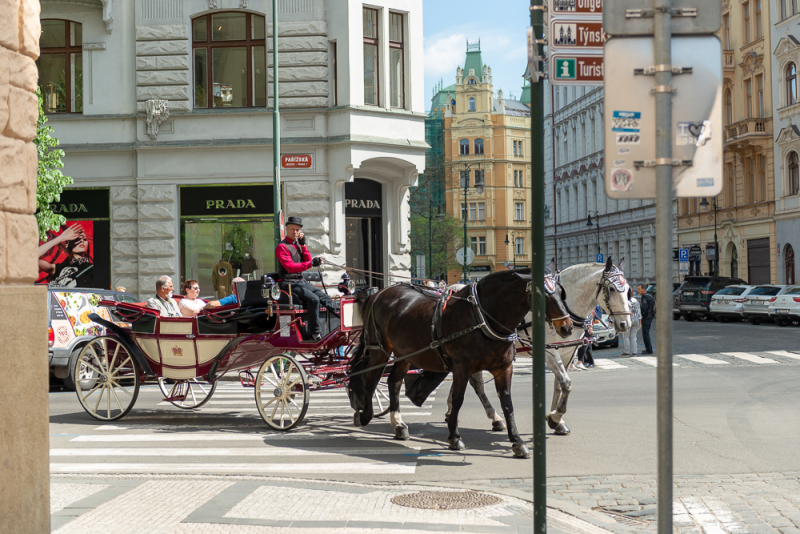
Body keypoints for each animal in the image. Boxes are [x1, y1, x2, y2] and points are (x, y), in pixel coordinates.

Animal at [346, 270, 572, 458]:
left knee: (393, 382)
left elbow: (507, 404)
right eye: (544, 295)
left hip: (405, 354)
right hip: (379, 349)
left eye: (561, 294)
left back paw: (399, 424)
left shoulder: (503, 368)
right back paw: (365, 414)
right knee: (370, 379)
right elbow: (458, 399)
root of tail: (379, 293)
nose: (568, 327)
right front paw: (454, 437)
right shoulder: (461, 367)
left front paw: (517, 441)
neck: (482, 316)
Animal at [548, 258, 636, 438]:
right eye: (611, 288)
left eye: (628, 291)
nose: (625, 324)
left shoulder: (568, 351)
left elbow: (559, 384)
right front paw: (556, 417)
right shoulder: (550, 350)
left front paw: (556, 420)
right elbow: (566, 383)